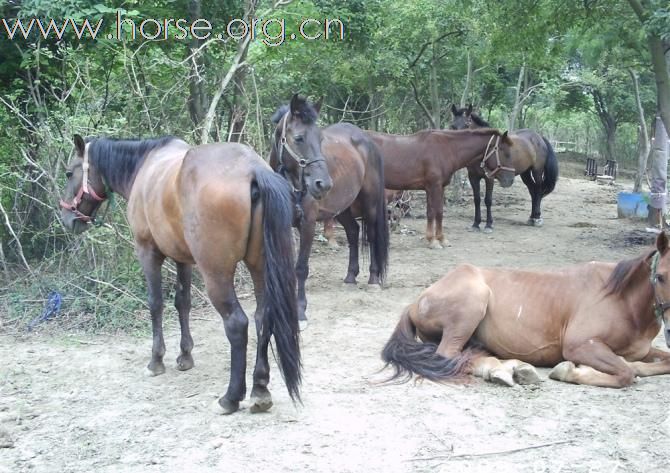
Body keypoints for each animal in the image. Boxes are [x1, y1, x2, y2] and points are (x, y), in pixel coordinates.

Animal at [60, 134, 302, 412]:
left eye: (69, 173)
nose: (67, 218)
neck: (144, 165)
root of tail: (253, 169)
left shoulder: (148, 252)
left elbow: (156, 303)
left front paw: (156, 360)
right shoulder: (182, 259)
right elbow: (182, 303)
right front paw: (185, 355)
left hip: (216, 275)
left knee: (237, 324)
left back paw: (230, 397)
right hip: (260, 268)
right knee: (263, 318)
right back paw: (260, 390)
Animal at [270, 96, 392, 324]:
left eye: (320, 140)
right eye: (298, 138)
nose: (323, 184)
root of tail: (366, 139)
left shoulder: (308, 224)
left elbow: (301, 268)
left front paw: (300, 310)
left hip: (370, 205)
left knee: (371, 236)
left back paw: (373, 279)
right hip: (342, 208)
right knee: (353, 232)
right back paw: (351, 276)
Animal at [368, 127, 520, 249]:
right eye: (506, 153)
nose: (510, 180)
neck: (446, 149)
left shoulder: (437, 187)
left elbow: (437, 212)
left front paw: (439, 239)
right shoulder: (434, 186)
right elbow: (435, 212)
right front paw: (434, 241)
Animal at [384, 230, 670, 390]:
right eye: (661, 276)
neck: (623, 301)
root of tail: (416, 302)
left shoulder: (641, 350)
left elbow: (651, 363)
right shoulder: (580, 346)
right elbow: (626, 373)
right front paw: (570, 371)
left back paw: (512, 369)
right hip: (470, 307)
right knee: (448, 355)